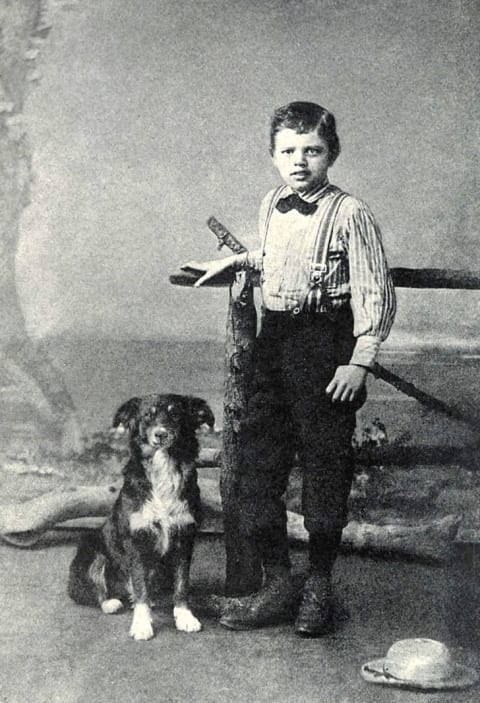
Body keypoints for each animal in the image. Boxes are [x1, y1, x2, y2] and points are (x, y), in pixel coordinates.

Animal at [68, 394, 215, 640]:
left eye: (176, 414)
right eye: (148, 415)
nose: (161, 434)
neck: (163, 469)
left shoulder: (185, 539)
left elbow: (182, 584)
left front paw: (184, 616)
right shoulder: (135, 541)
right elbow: (140, 585)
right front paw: (142, 624)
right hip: (92, 551)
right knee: (92, 588)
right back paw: (110, 602)